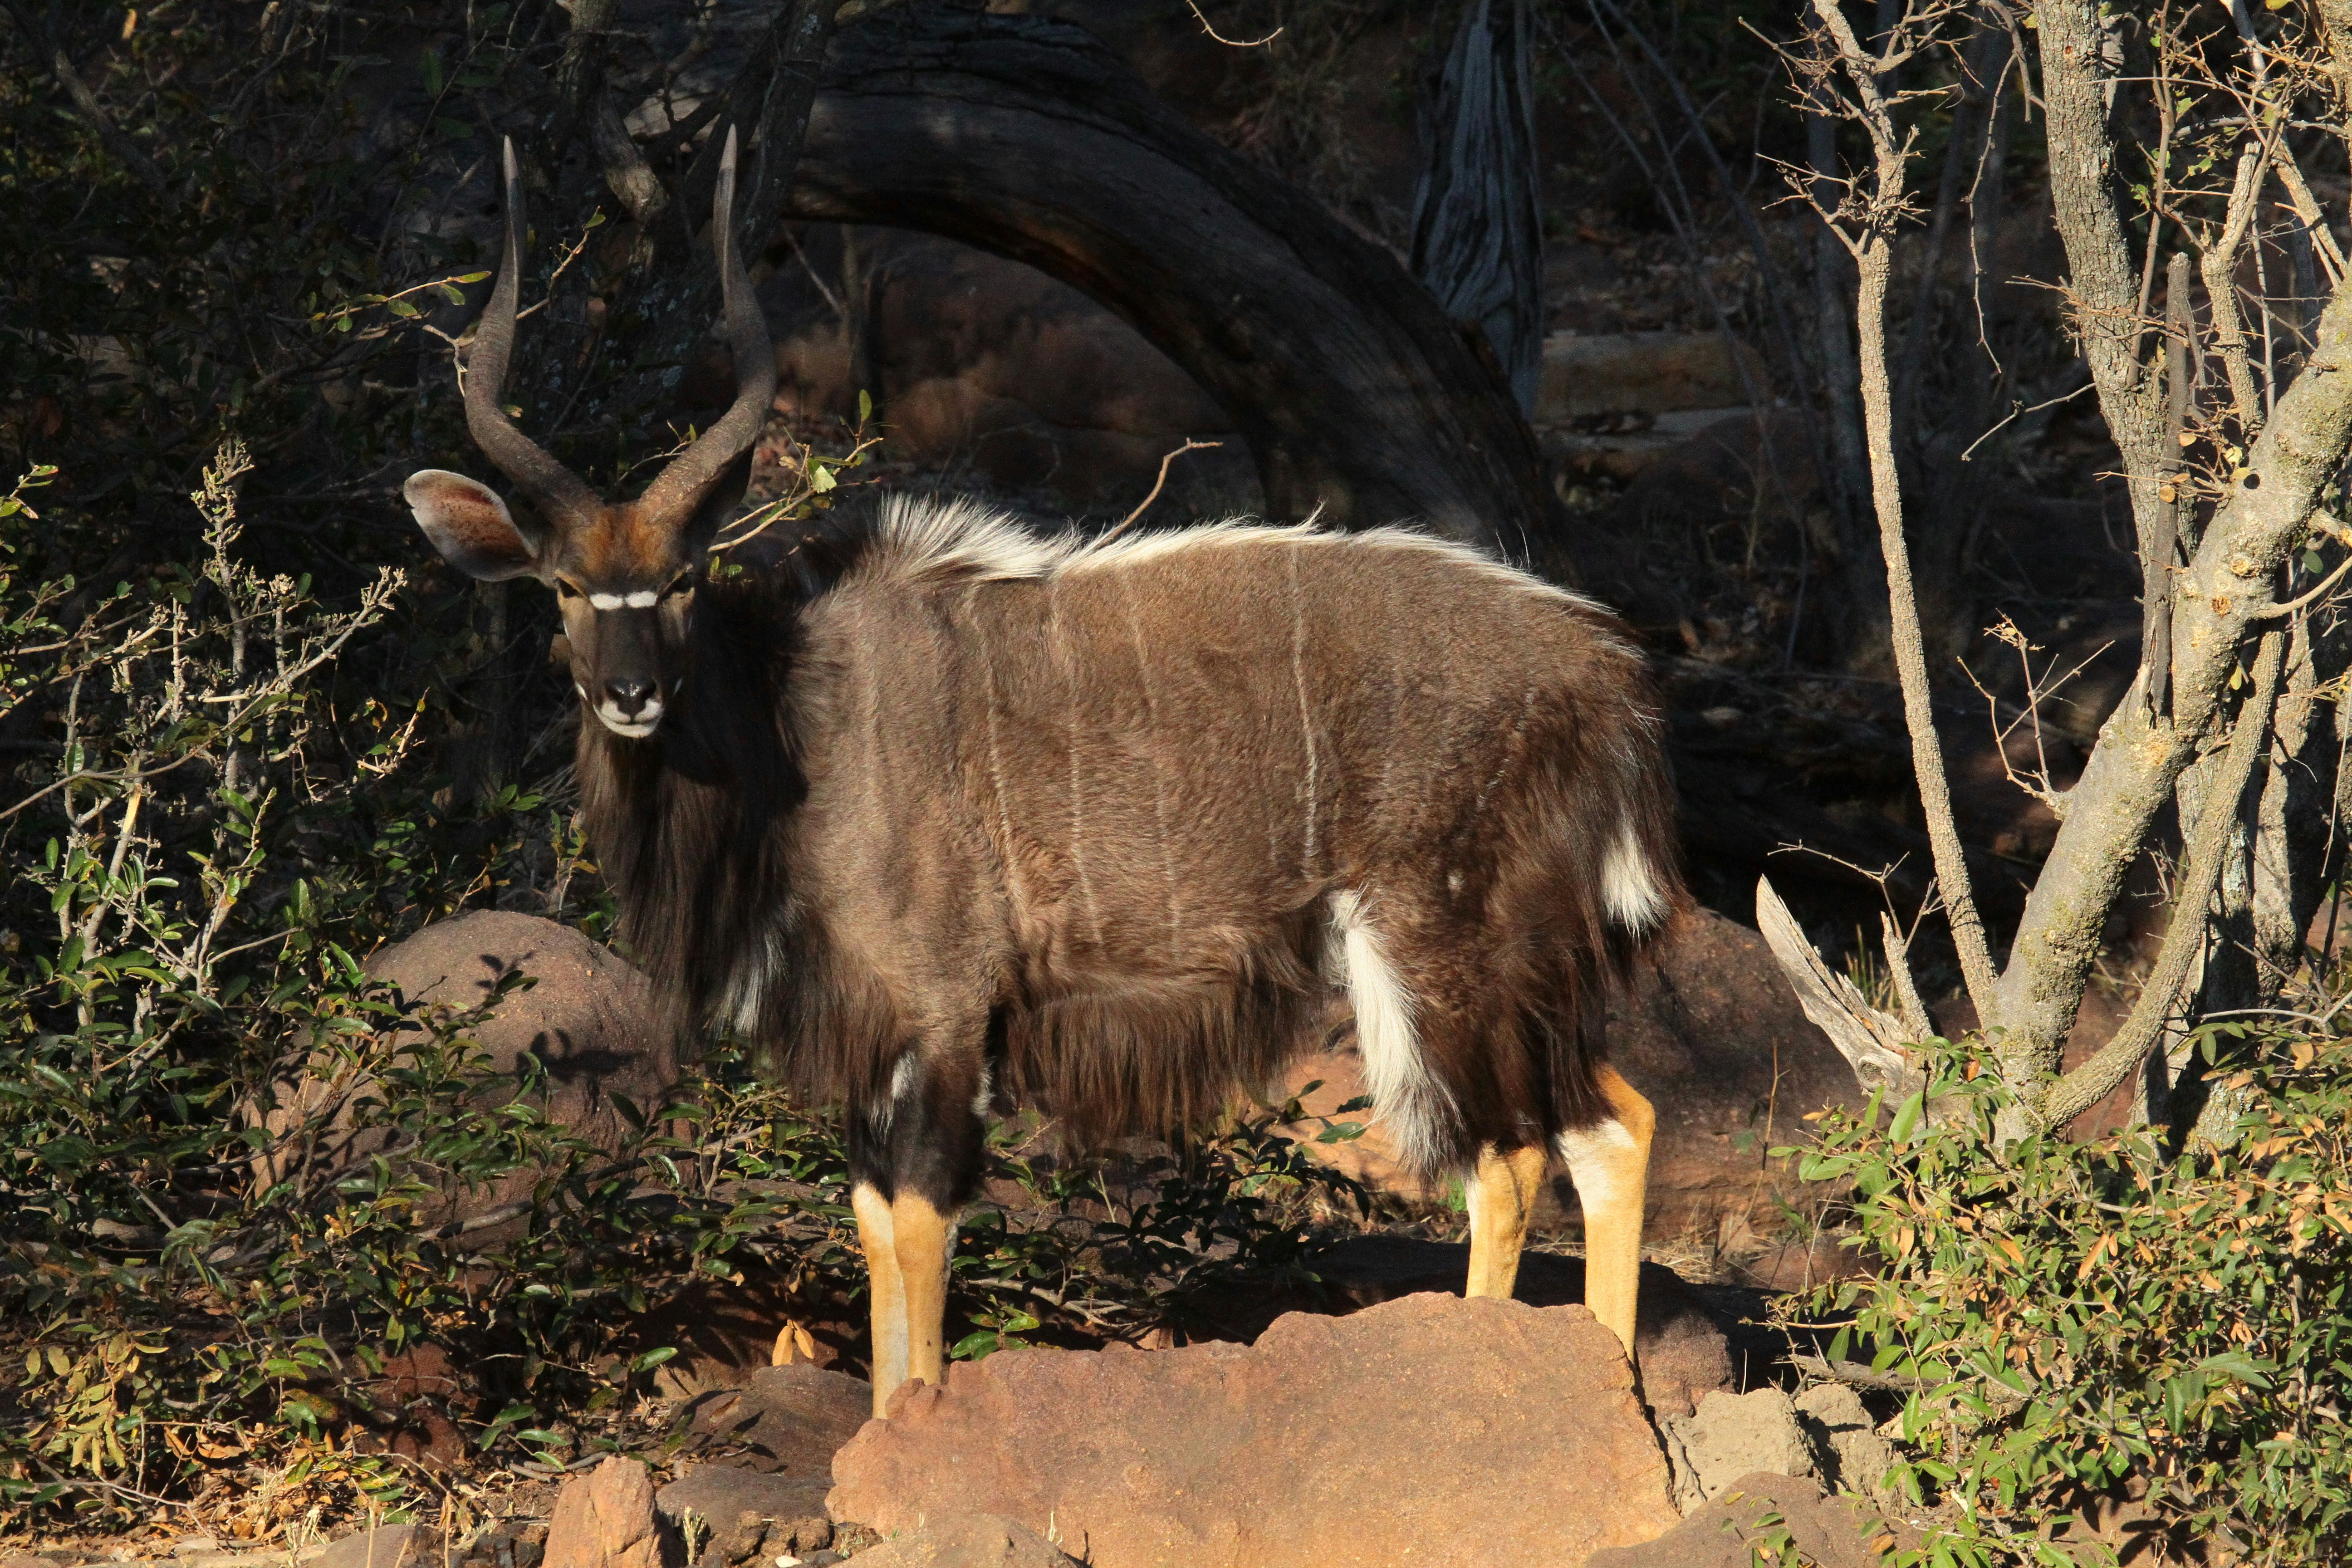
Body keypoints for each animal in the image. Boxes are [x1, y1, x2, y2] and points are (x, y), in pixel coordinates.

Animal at [407, 133, 1682, 1420]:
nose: (630, 694)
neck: (797, 718)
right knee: (1612, 1123)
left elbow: (918, 1223)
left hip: (1438, 951)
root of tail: (1607, 674)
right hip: (1522, 966)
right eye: (565, 586)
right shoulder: (873, 1042)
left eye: (679, 578)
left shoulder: (942, 1014)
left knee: (1509, 1156)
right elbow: (873, 1221)